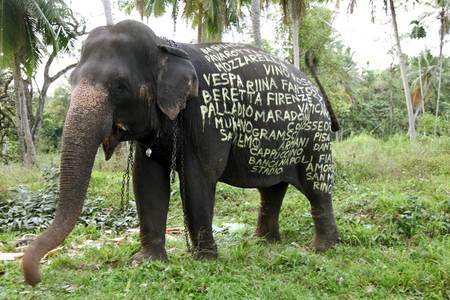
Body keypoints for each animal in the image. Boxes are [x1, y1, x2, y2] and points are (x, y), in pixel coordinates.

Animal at [22, 19, 340, 286]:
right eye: (72, 80)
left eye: (120, 85)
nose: (35, 278)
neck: (167, 45)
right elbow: (147, 179)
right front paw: (146, 261)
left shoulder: (208, 116)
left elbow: (197, 178)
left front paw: (205, 260)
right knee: (271, 190)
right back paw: (264, 242)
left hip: (314, 137)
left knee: (317, 188)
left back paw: (322, 248)